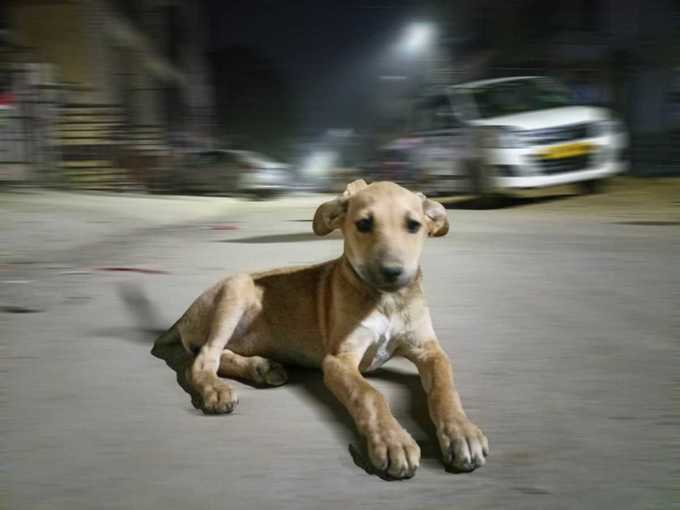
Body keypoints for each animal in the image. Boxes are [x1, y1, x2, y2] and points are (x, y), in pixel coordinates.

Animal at [159, 179, 488, 478]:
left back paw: (261, 368)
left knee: (218, 354)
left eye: (414, 225)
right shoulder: (339, 360)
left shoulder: (429, 350)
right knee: (203, 359)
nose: (393, 273)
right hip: (236, 289)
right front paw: (394, 440)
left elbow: (445, 388)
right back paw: (217, 388)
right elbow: (370, 395)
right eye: (364, 224)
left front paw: (463, 432)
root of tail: (184, 316)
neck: (386, 301)